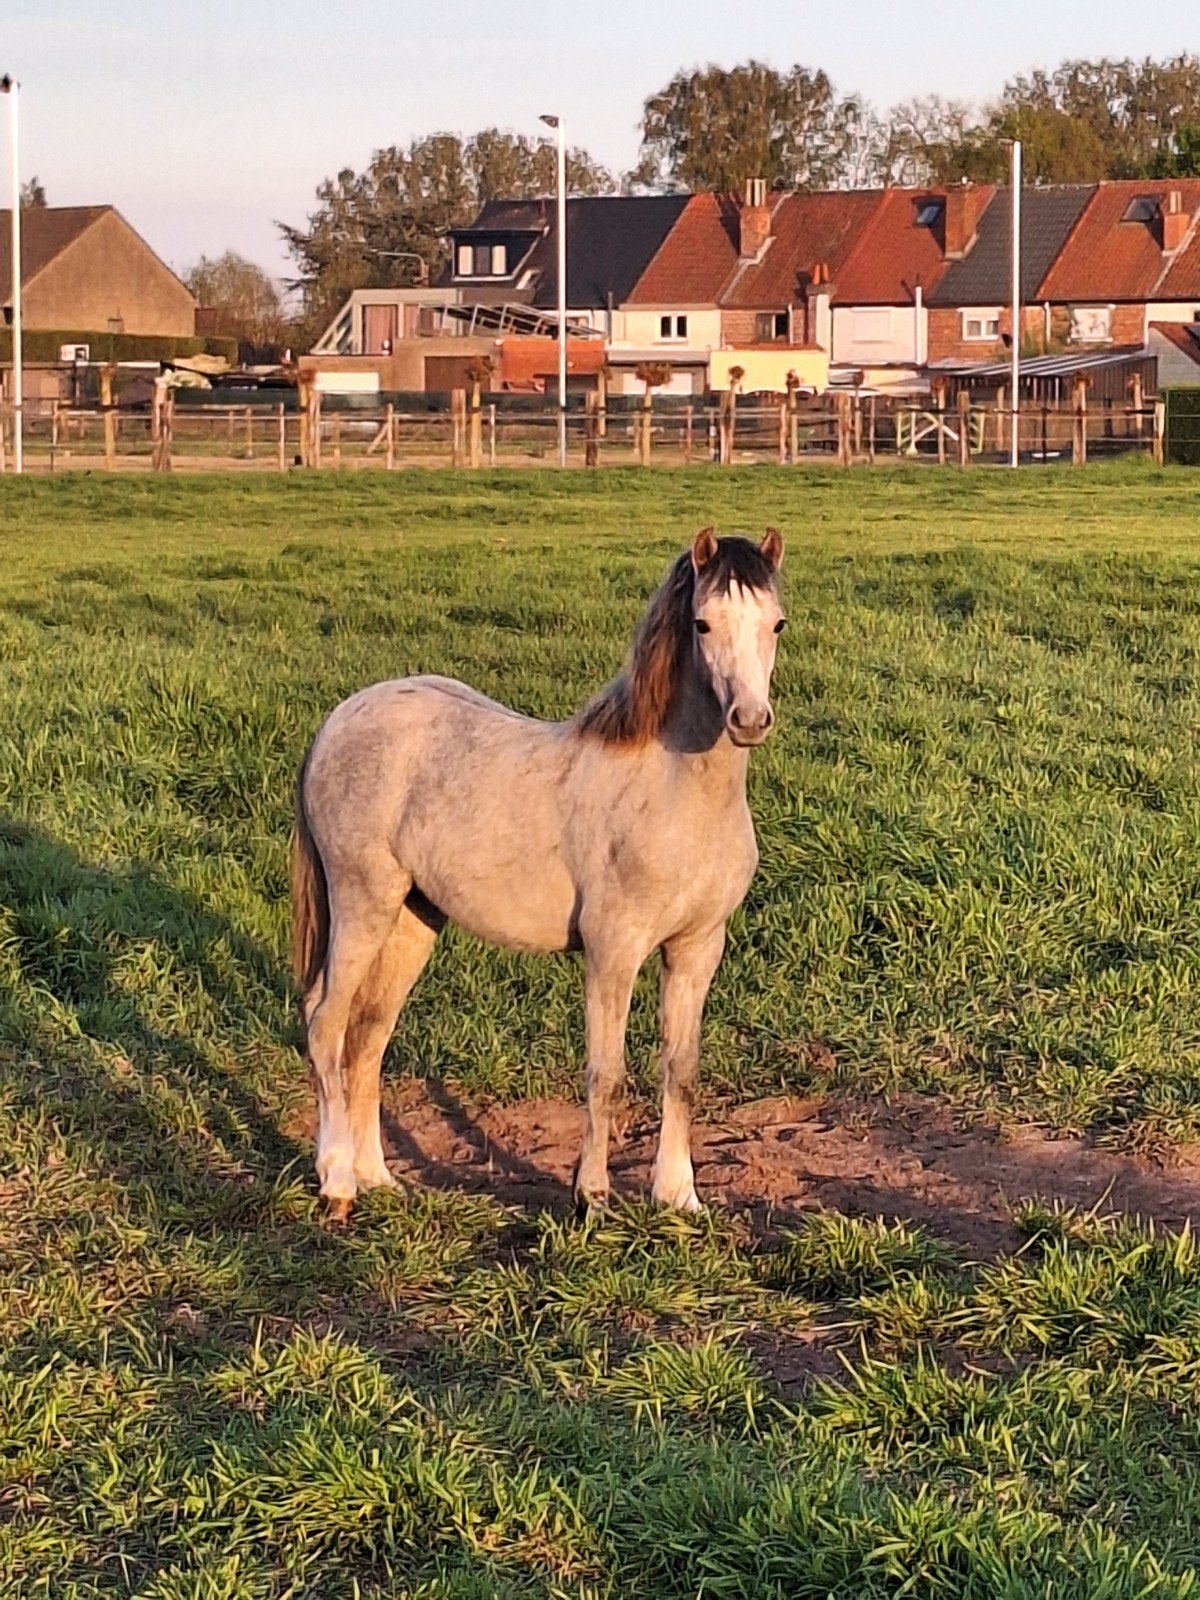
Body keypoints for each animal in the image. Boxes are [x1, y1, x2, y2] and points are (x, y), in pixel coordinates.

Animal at [291, 527, 786, 1220]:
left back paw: (378, 1179)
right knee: (325, 1024)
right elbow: (605, 1074)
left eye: (777, 623)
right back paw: (336, 1184)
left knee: (367, 1037)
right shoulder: (613, 951)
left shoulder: (697, 947)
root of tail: (337, 722)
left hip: (414, 919)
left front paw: (678, 1196)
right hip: (363, 904)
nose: (748, 720)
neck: (675, 794)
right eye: (703, 623)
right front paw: (593, 1198)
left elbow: (680, 1069)